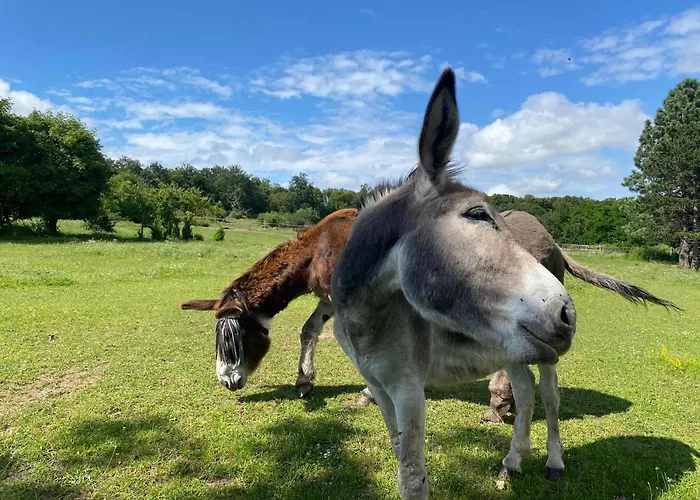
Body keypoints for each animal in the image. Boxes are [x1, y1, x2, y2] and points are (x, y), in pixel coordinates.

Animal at [328, 67, 675, 498]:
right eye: (478, 214)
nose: (566, 312)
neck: (366, 317)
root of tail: (554, 241)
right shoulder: (378, 383)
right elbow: (399, 453)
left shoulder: (409, 387)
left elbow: (412, 476)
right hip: (514, 345)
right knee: (524, 390)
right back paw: (512, 461)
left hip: (541, 350)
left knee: (549, 395)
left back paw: (553, 462)